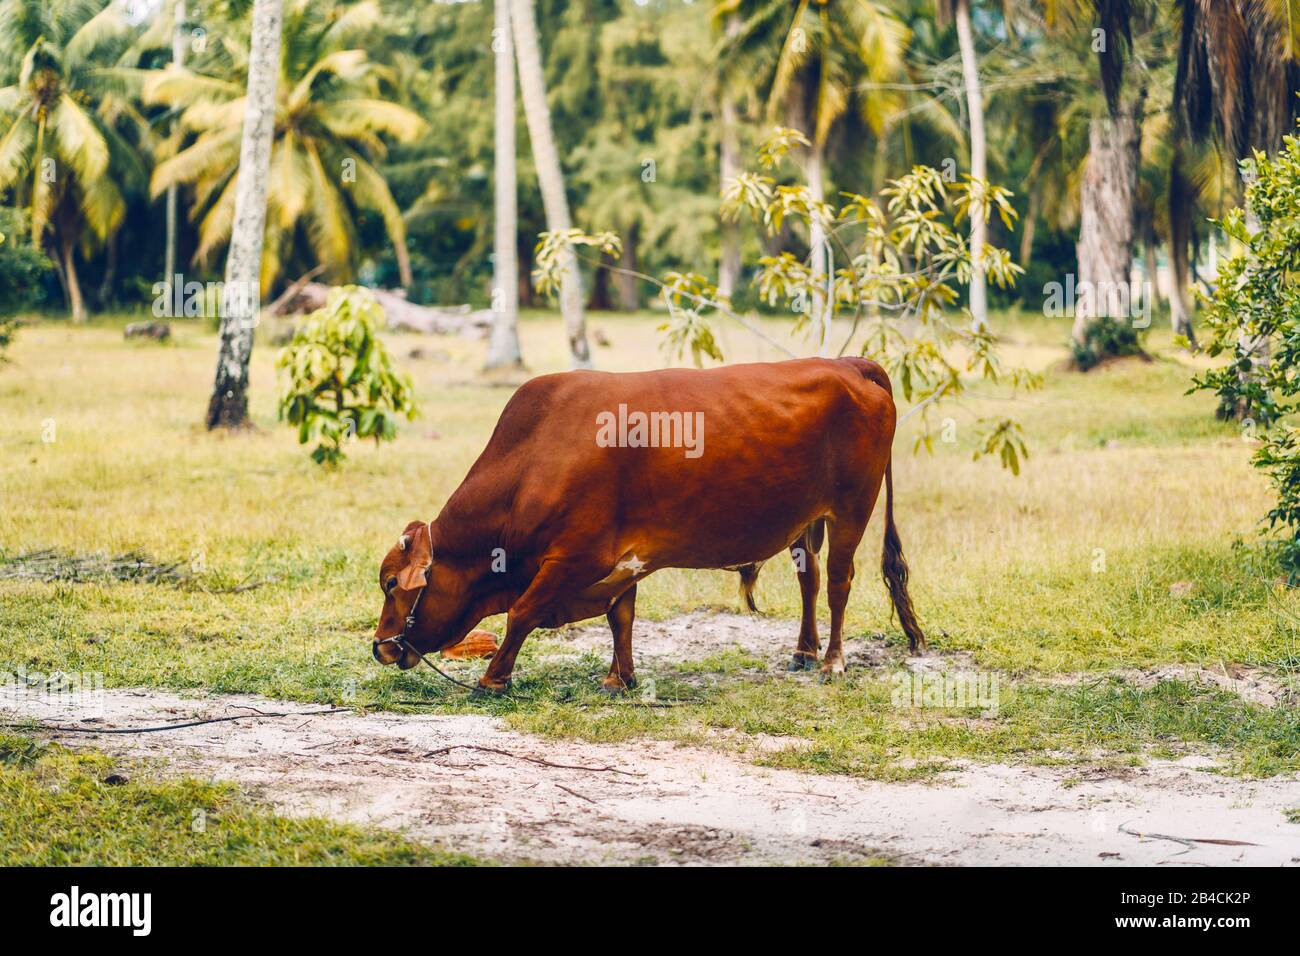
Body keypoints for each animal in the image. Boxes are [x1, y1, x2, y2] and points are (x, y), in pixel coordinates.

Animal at [371, 358, 925, 697]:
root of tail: (847, 364)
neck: (529, 465)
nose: (380, 646)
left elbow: (522, 613)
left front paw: (494, 679)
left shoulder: (574, 558)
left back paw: (832, 662)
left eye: (392, 584)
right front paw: (620, 679)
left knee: (838, 584)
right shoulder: (623, 561)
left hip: (852, 510)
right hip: (807, 522)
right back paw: (803, 652)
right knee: (809, 581)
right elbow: (622, 618)